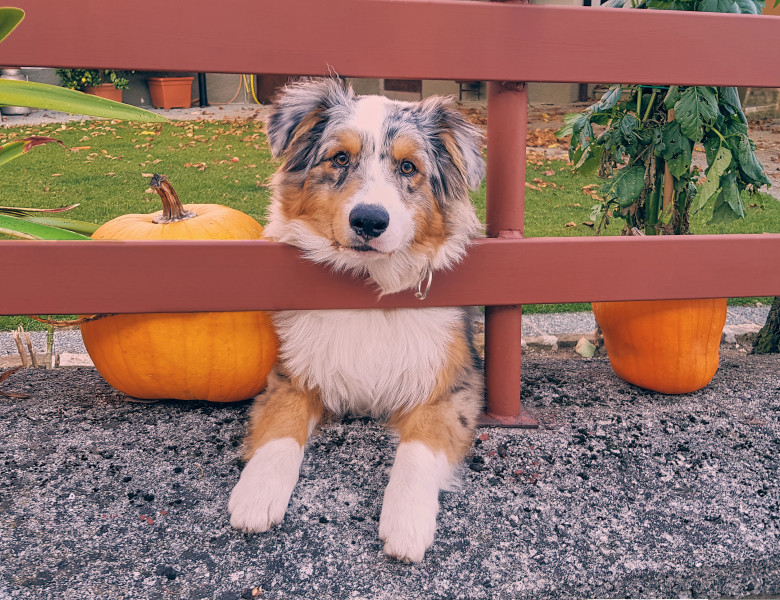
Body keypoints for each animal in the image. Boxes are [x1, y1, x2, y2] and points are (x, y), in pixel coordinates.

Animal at [225, 78, 484, 564]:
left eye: (408, 166)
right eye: (340, 158)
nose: (369, 220)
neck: (367, 286)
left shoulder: (451, 385)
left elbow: (417, 450)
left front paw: (406, 524)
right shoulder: (292, 374)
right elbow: (281, 429)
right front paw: (256, 494)